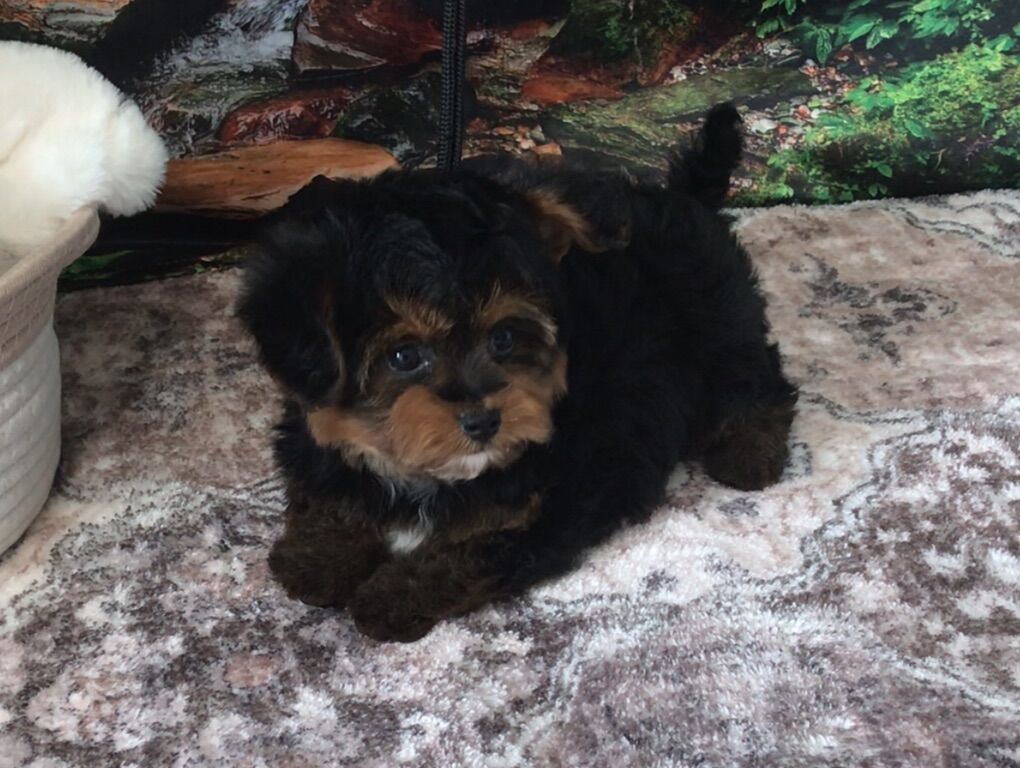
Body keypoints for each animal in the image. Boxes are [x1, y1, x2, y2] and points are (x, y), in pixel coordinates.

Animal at [238, 103, 797, 642]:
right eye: (404, 357)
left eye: (503, 338)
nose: (485, 422)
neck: (424, 476)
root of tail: (686, 198)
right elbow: (326, 486)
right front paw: (318, 556)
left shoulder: (556, 490)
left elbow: (468, 550)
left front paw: (392, 596)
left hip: (717, 331)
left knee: (760, 385)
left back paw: (749, 453)